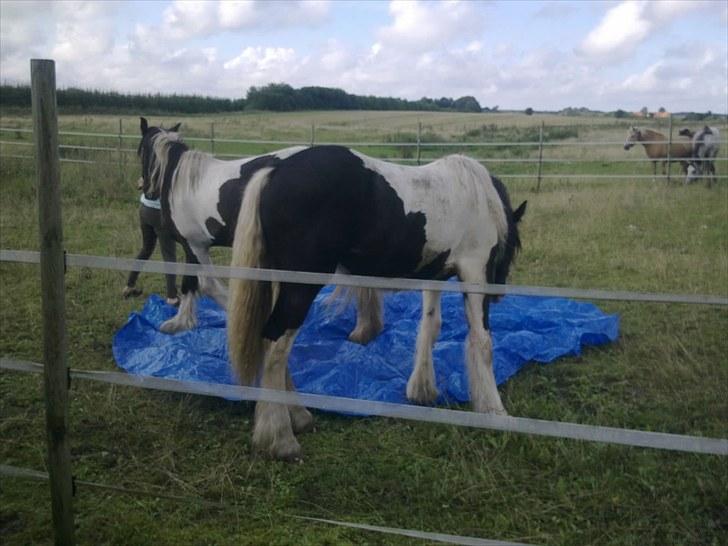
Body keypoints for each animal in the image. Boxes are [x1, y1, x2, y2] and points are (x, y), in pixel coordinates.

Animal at [228, 146, 524, 460]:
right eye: (513, 246)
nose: (499, 293)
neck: (477, 193)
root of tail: (274, 173)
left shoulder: (435, 276)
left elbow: (429, 327)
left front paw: (422, 389)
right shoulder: (474, 273)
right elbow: (482, 341)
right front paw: (494, 412)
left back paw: (298, 417)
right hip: (300, 288)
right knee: (276, 345)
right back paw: (280, 438)